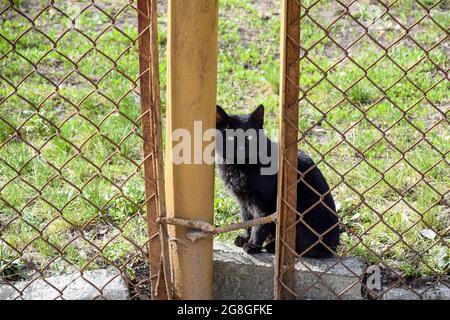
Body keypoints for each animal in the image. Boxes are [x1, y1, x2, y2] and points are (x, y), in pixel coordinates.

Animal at [216, 104, 340, 258]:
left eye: (250, 136)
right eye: (231, 137)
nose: (241, 149)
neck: (240, 167)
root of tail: (333, 247)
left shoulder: (265, 203)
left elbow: (260, 224)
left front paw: (253, 245)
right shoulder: (243, 201)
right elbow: (247, 220)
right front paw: (245, 238)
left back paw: (271, 246)